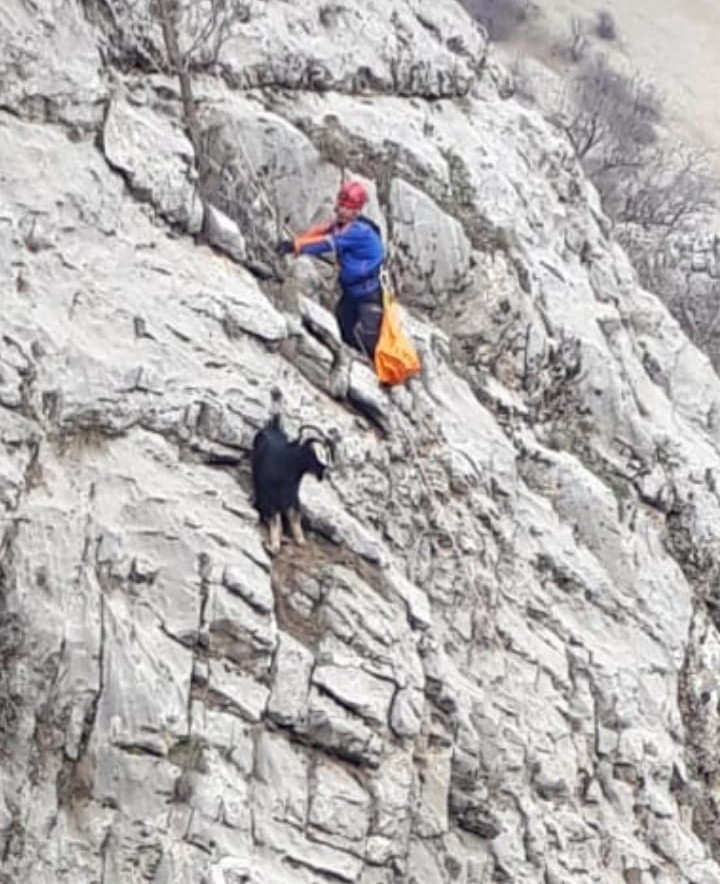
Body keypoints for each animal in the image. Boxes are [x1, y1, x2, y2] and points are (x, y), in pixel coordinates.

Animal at [252, 412, 330, 552]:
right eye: (312, 452)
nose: (323, 470)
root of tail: (274, 426)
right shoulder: (269, 496)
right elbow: (276, 519)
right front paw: (273, 545)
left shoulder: (292, 497)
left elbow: (294, 517)